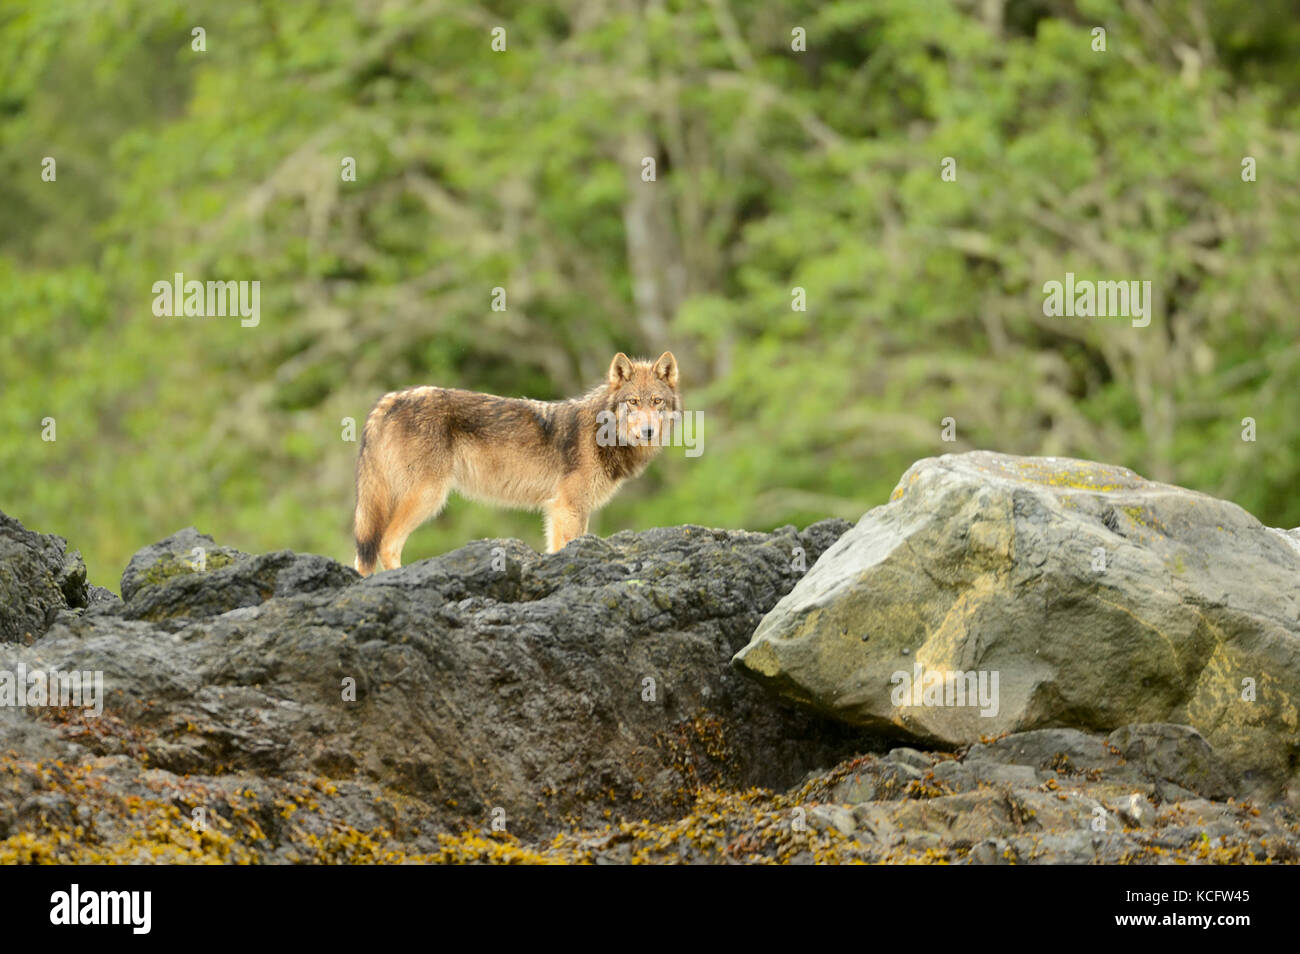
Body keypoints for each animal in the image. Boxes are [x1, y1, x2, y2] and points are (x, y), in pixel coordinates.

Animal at [356, 350, 681, 574]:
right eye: (633, 402)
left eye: (656, 402)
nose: (648, 432)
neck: (600, 434)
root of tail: (389, 399)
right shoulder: (570, 509)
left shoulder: (556, 510)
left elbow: (555, 550)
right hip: (428, 497)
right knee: (384, 545)